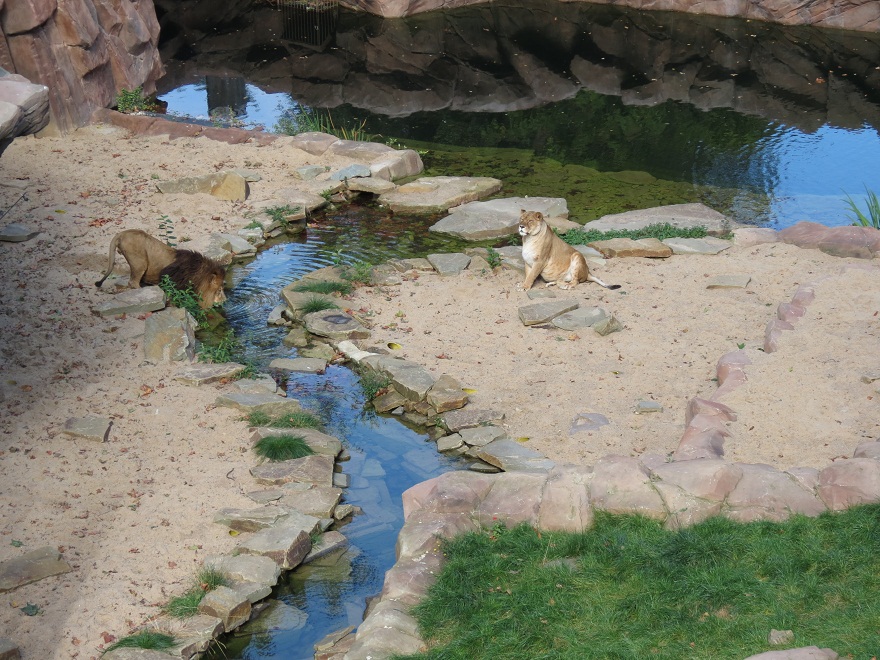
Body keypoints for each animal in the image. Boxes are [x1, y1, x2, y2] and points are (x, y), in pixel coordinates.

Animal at [94, 229, 227, 309]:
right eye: (219, 290)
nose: (225, 301)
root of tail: (121, 234)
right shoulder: (173, 284)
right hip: (140, 263)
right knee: (133, 282)